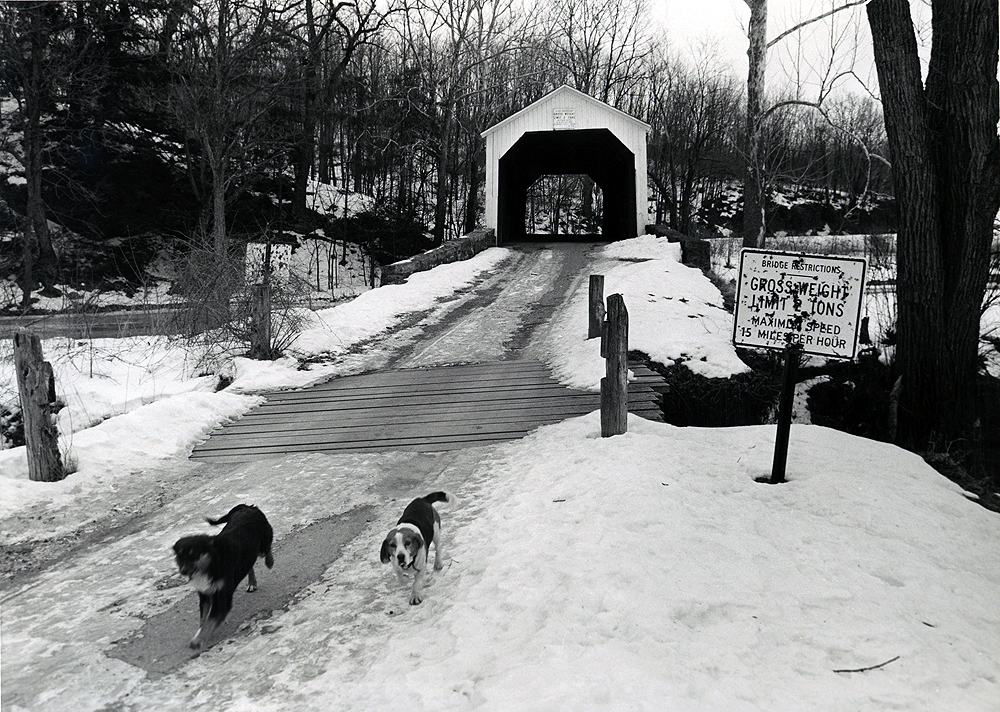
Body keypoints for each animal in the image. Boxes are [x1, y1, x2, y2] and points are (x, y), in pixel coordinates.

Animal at [172, 504, 274, 648]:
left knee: (267, 549)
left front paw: (198, 640)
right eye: (179, 557)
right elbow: (204, 619)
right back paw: (251, 583)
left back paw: (269, 562)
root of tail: (247, 507)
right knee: (250, 565)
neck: (211, 564)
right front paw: (200, 634)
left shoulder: (222, 595)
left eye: (194, 554)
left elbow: (210, 620)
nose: (183, 570)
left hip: (262, 545)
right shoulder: (205, 594)